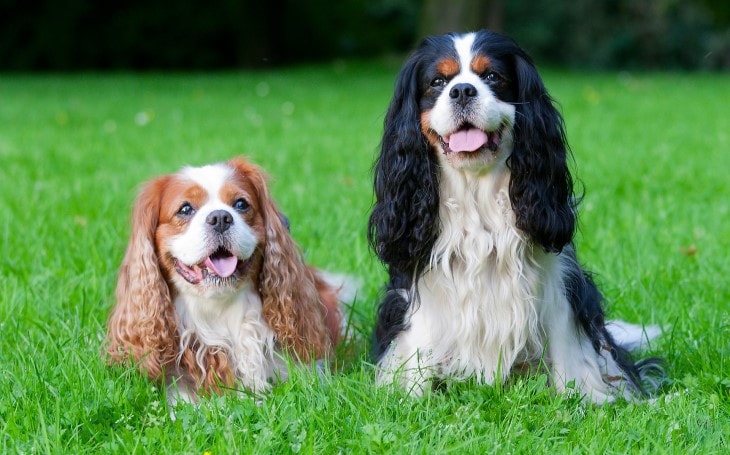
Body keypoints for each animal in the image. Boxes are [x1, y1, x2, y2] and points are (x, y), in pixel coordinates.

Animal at [366, 30, 664, 404]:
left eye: (493, 76)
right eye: (437, 82)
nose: (462, 91)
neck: (476, 190)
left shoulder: (557, 285)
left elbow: (569, 353)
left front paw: (581, 400)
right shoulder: (419, 290)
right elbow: (418, 349)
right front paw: (411, 400)